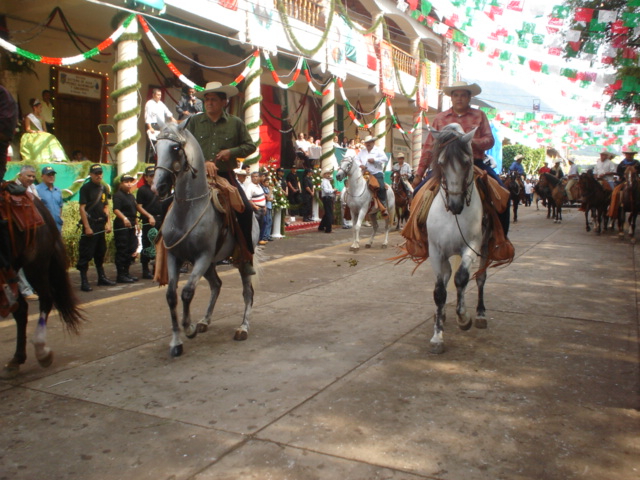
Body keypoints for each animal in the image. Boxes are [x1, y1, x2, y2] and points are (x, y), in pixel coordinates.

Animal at [152, 123, 258, 356]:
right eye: (156, 147)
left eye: (175, 148)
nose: (158, 188)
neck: (188, 210)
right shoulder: (175, 256)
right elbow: (172, 295)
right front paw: (176, 342)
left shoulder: (203, 256)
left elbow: (187, 292)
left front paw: (188, 327)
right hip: (210, 264)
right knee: (216, 285)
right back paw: (205, 320)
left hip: (240, 260)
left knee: (248, 292)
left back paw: (243, 328)